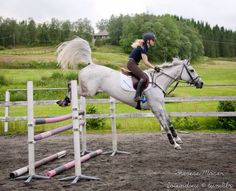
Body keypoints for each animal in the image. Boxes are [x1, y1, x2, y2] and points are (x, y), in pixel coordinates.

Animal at [56, 37, 203, 149]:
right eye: (192, 70)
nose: (201, 83)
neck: (159, 82)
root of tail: (90, 64)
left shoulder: (159, 107)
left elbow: (168, 121)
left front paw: (178, 139)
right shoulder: (156, 107)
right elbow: (165, 125)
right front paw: (174, 144)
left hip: (90, 91)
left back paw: (64, 101)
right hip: (89, 91)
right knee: (71, 85)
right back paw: (64, 101)